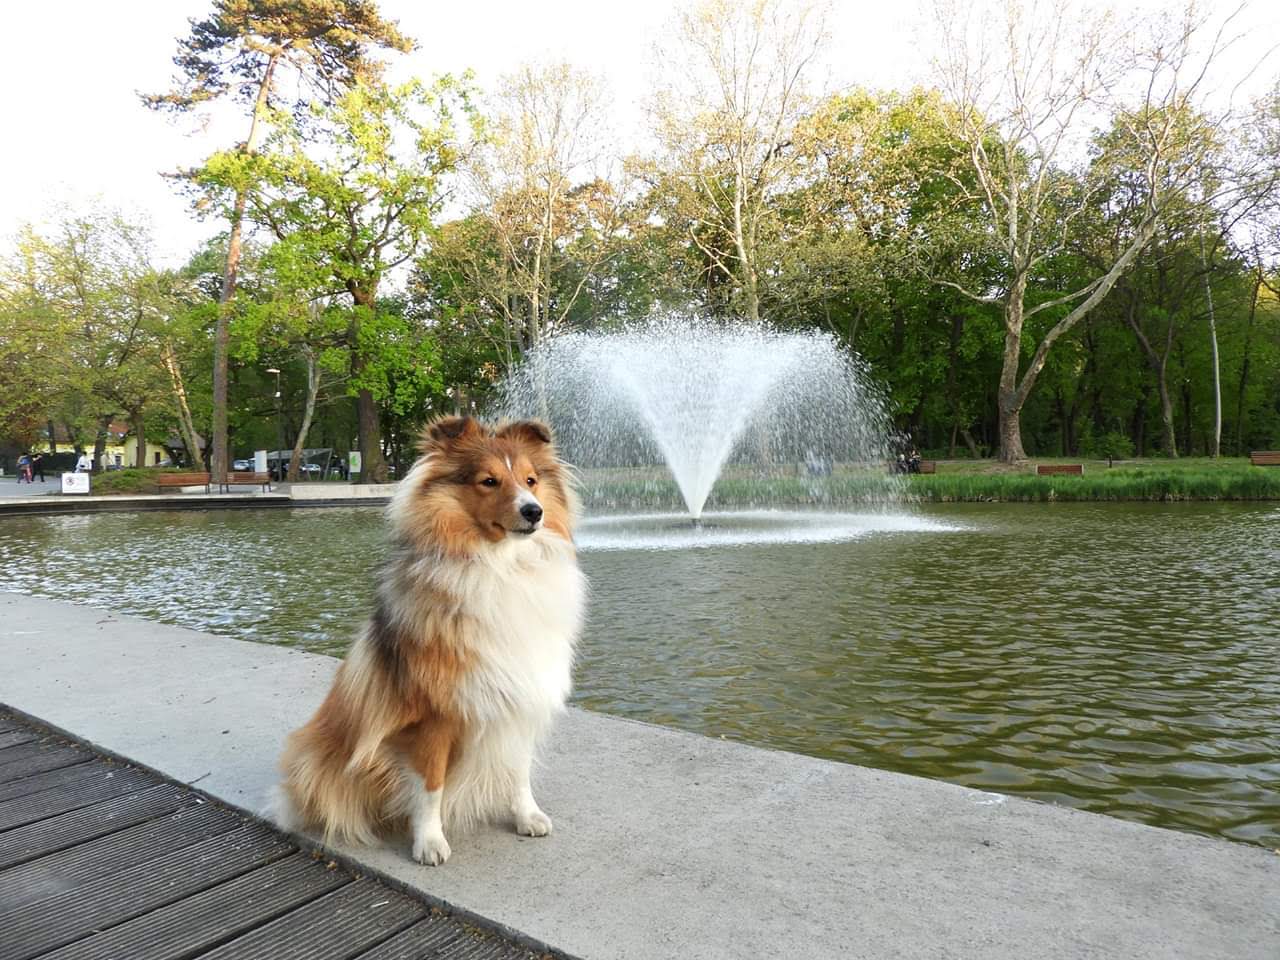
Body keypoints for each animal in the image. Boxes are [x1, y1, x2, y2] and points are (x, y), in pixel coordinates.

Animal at [274, 416, 586, 865]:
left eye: (531, 480)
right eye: (488, 481)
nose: (534, 511)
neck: (502, 567)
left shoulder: (520, 699)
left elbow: (518, 769)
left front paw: (526, 816)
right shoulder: (430, 718)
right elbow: (430, 786)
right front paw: (430, 841)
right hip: (318, 756)